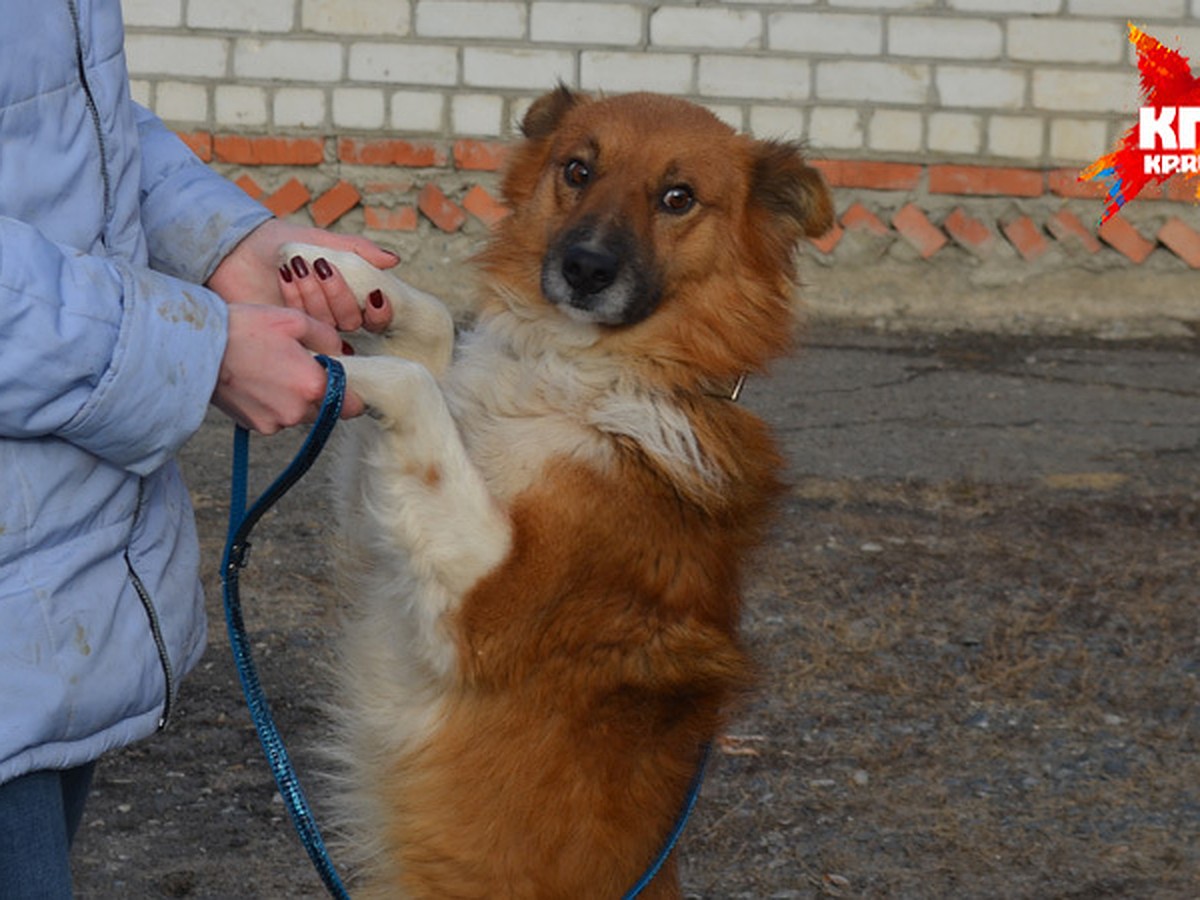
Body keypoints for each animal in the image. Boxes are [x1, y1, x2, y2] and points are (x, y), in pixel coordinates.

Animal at [284, 86, 830, 900]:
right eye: (578, 169)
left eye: (678, 197)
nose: (585, 267)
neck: (577, 374)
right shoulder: (375, 542)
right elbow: (436, 339)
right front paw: (344, 276)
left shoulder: (484, 609)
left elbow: (416, 388)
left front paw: (324, 354)